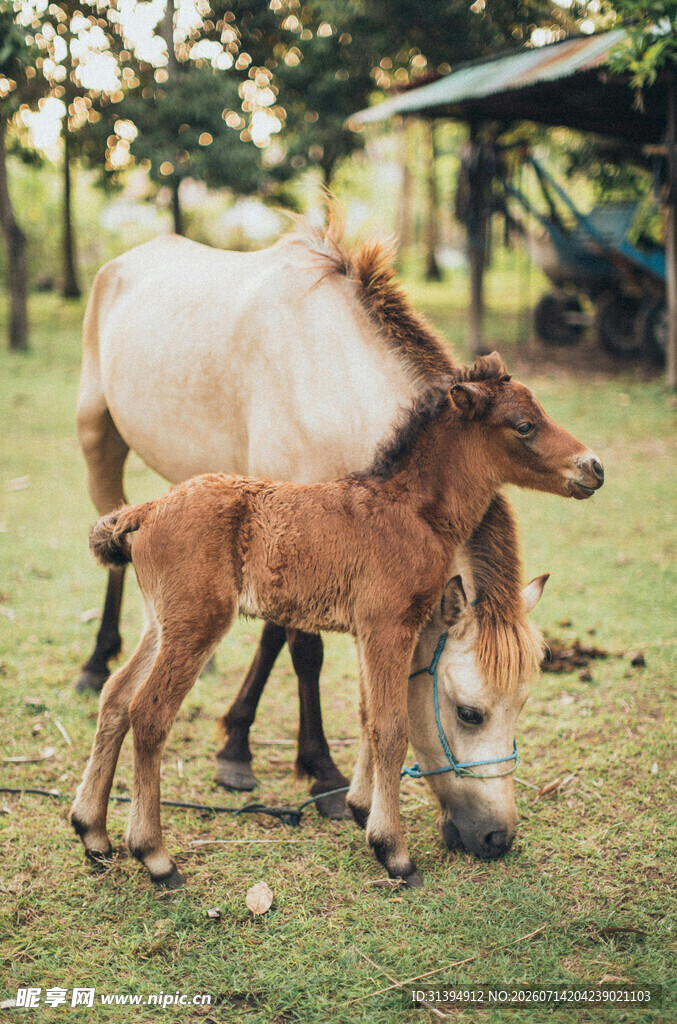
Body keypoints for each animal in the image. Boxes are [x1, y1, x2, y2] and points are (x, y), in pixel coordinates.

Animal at [71, 354, 602, 888]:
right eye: (525, 425)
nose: (593, 467)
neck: (412, 510)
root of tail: (150, 507)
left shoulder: (370, 630)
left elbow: (368, 714)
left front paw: (363, 810)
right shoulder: (390, 624)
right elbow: (391, 726)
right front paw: (394, 853)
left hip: (161, 623)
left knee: (115, 697)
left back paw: (92, 833)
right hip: (197, 624)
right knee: (149, 712)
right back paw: (155, 856)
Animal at [75, 226, 603, 819]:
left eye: (523, 700)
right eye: (468, 711)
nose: (593, 467)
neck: (329, 376)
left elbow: (278, 637)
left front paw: (240, 745)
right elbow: (306, 652)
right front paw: (320, 771)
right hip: (98, 441)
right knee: (114, 558)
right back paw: (95, 663)